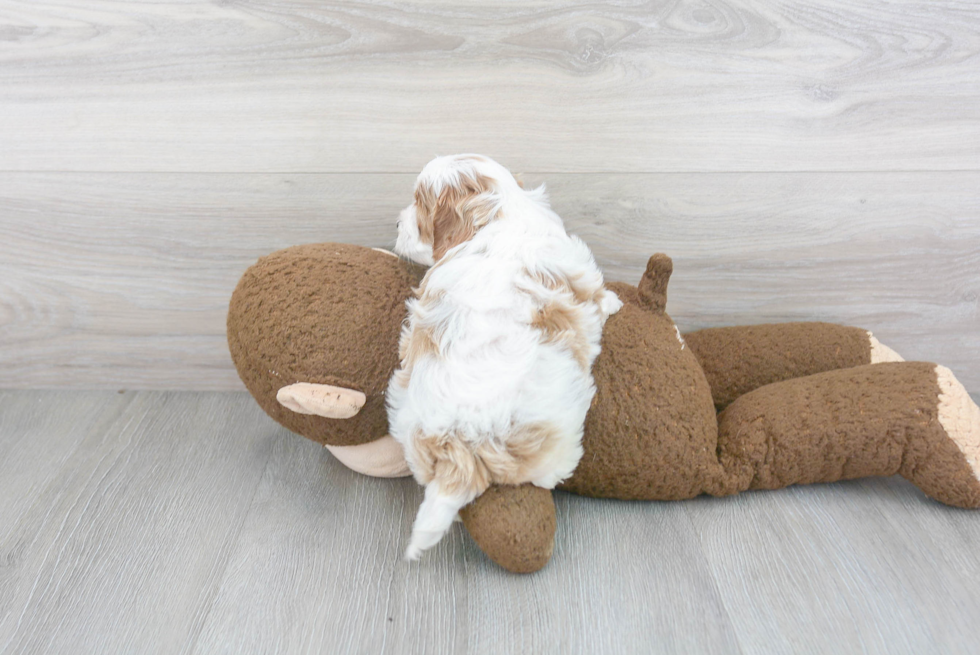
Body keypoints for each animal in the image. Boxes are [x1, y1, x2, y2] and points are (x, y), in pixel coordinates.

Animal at [388, 154, 624, 560]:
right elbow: (599, 298)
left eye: (419, 205)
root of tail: (461, 438)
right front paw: (614, 302)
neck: (501, 212)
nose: (397, 223)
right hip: (558, 442)